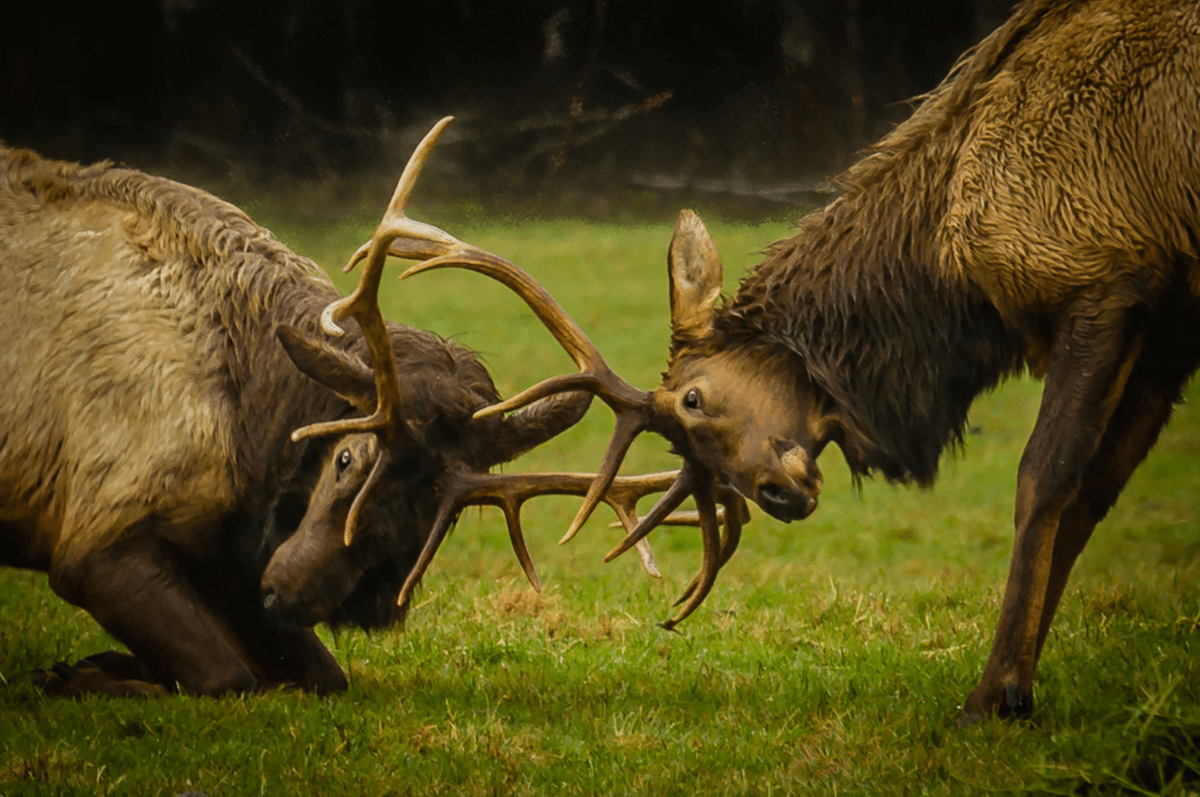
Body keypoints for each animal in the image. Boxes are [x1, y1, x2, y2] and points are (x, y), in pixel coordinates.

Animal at [0, 118, 672, 697]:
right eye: (345, 457)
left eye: (447, 509)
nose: (304, 597)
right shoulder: (95, 536)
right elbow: (229, 676)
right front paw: (74, 676)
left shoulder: (233, 567)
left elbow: (322, 675)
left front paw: (94, 665)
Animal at [404, 0, 1200, 722]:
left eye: (693, 398)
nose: (778, 495)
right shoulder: (1166, 326)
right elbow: (1093, 493)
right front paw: (1022, 682)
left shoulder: (1102, 275)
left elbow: (1046, 478)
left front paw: (993, 693)